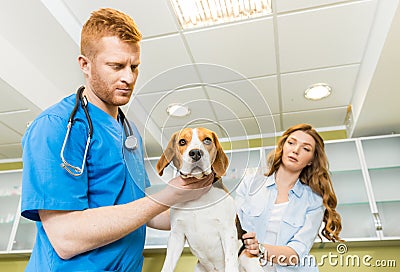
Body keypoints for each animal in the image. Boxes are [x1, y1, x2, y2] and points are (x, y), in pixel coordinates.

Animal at [158, 128, 242, 272]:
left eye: (207, 140)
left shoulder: (228, 230)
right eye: (182, 142)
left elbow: (231, 261)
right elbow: (167, 265)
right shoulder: (176, 235)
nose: (196, 153)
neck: (197, 198)